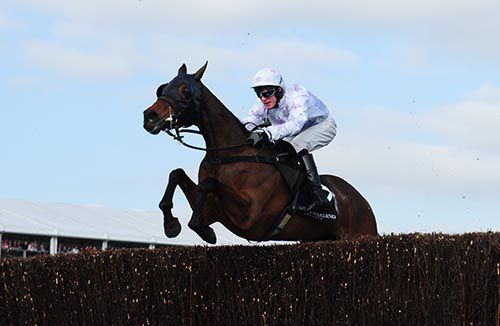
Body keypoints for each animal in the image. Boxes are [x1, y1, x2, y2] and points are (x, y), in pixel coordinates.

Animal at [141, 62, 376, 243]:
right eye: (162, 88)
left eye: (186, 91)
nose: (150, 116)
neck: (228, 155)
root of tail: (361, 199)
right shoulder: (213, 210)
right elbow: (177, 174)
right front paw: (172, 224)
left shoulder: (251, 217)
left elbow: (209, 184)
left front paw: (200, 228)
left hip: (361, 233)